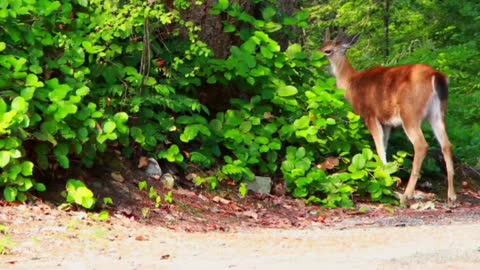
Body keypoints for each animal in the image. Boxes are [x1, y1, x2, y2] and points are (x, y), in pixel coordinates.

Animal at [320, 30, 456, 207]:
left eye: (327, 51)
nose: (314, 57)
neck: (351, 83)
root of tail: (436, 76)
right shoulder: (387, 123)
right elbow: (383, 147)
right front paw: (384, 177)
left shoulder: (370, 115)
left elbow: (379, 147)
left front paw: (383, 180)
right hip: (438, 113)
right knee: (447, 144)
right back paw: (451, 196)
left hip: (410, 113)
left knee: (421, 145)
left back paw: (406, 196)